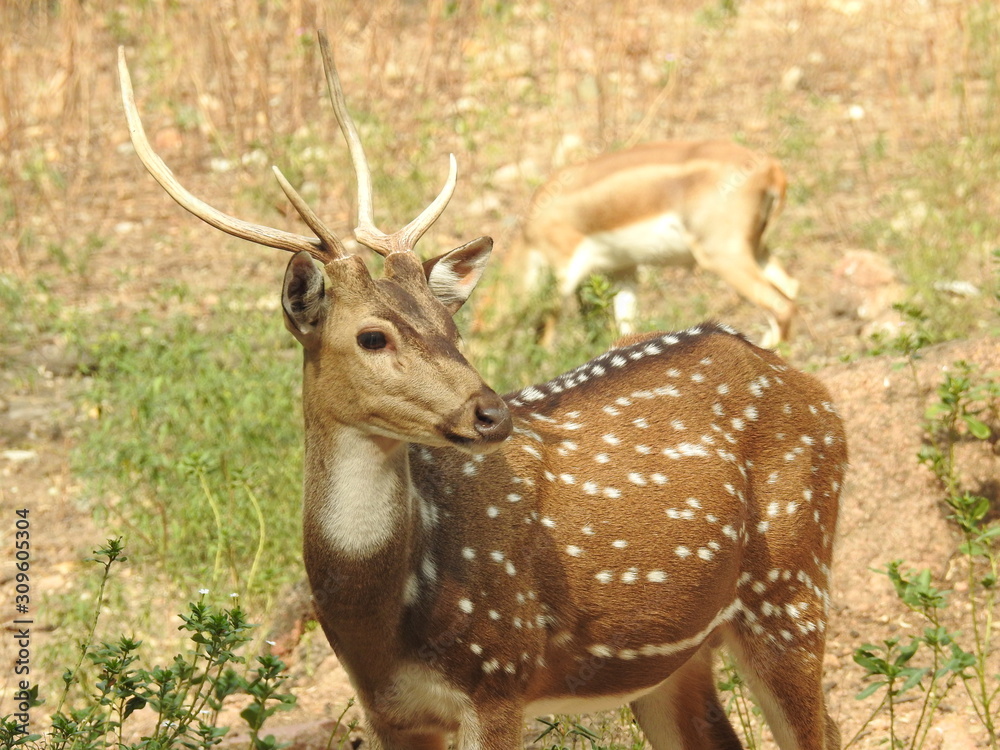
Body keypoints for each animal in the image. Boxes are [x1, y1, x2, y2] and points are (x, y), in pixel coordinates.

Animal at [505, 139, 798, 349]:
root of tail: (771, 169)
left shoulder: (565, 269)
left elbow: (544, 328)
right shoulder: (624, 271)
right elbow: (626, 327)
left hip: (723, 255)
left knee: (779, 305)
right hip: (757, 249)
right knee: (791, 289)